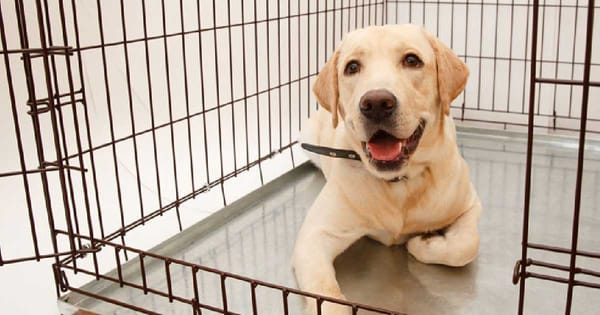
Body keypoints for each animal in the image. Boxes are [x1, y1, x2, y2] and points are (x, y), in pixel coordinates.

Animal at [292, 24, 480, 314]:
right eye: (352, 67)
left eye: (412, 60)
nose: (377, 103)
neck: (399, 183)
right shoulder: (314, 236)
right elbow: (326, 295)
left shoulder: (471, 203)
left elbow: (464, 246)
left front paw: (422, 242)